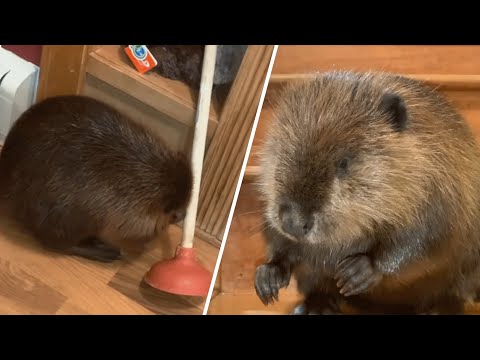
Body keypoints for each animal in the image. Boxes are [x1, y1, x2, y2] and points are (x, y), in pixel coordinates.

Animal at [255, 70, 480, 316]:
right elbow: (276, 237)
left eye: (343, 162)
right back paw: (315, 307)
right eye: (282, 152)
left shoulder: (442, 182)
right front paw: (268, 275)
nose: (293, 222)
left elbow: (429, 237)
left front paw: (358, 270)